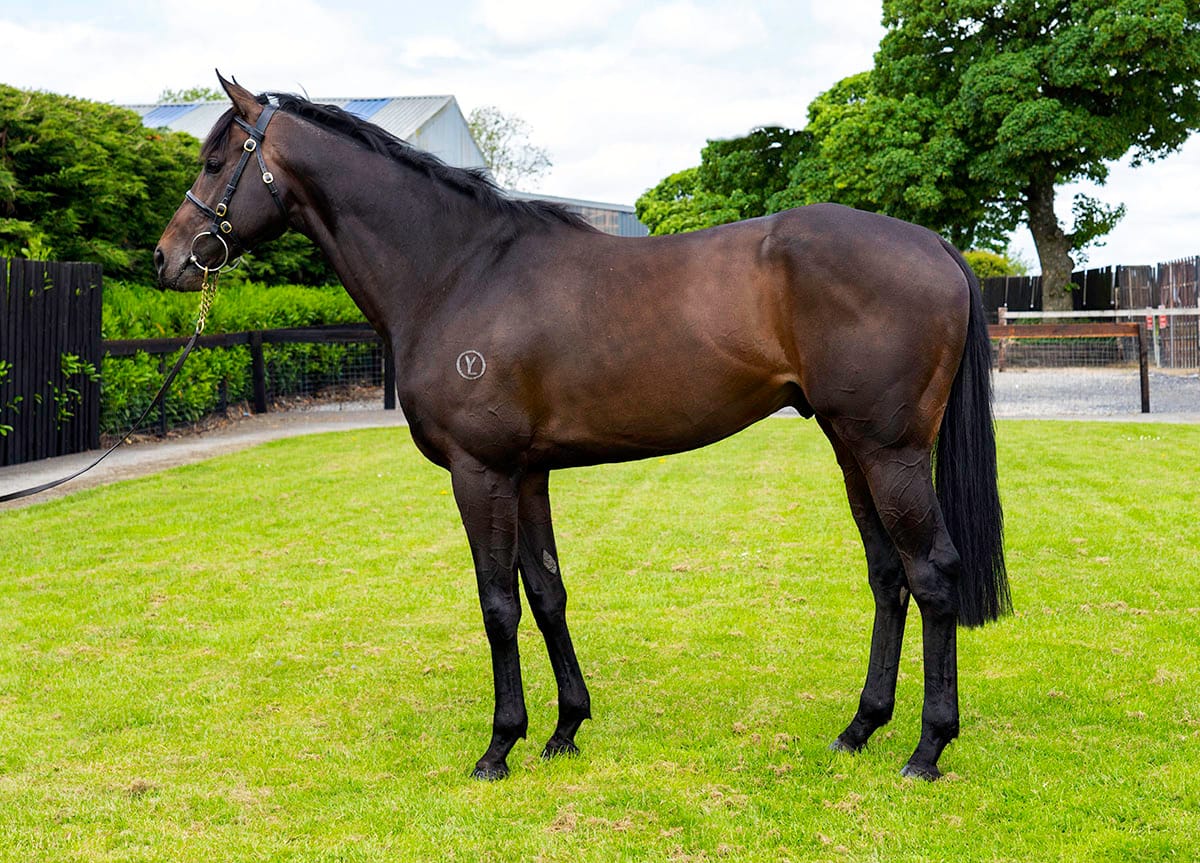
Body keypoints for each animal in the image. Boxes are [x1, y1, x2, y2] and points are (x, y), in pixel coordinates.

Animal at [154, 75, 1009, 782]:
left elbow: (497, 602)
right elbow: (547, 591)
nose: (167, 259)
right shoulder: (527, 471)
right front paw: (565, 728)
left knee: (933, 573)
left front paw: (500, 744)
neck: (458, 269)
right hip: (849, 447)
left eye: (215, 159)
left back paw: (926, 748)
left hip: (889, 451)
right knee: (889, 576)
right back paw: (859, 728)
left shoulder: (481, 471)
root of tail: (932, 243)